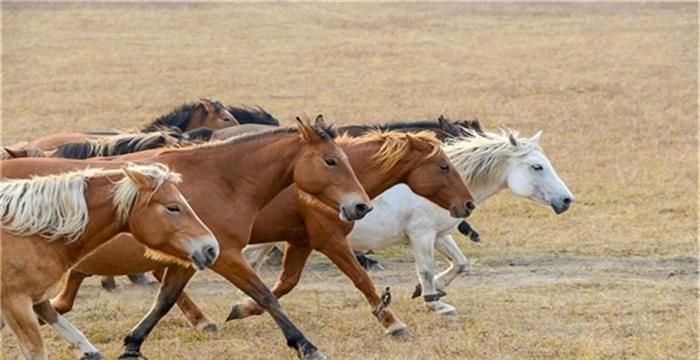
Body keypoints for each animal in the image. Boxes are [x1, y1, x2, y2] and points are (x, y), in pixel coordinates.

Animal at [0, 164, 219, 360]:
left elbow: (76, 335)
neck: (30, 234)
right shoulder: (17, 302)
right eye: (173, 207)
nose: (211, 249)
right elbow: (36, 352)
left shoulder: (37, 298)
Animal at [246, 126, 576, 316]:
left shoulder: (441, 235)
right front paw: (434, 301)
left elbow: (460, 263)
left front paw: (429, 291)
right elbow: (426, 268)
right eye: (537, 167)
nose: (567, 200)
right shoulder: (422, 235)